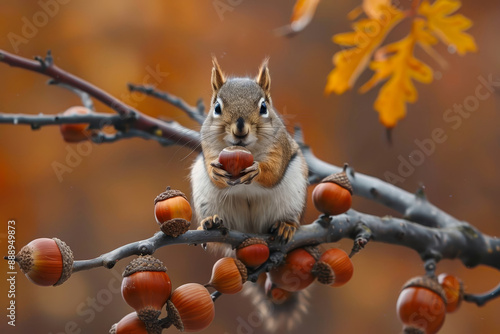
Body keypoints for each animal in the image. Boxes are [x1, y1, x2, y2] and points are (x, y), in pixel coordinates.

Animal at [190, 58, 310, 332]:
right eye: (217, 107)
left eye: (264, 107)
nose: (240, 129)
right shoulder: (207, 147)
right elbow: (213, 166)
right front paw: (216, 171)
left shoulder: (280, 148)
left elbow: (272, 172)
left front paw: (257, 170)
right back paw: (210, 222)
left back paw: (286, 226)